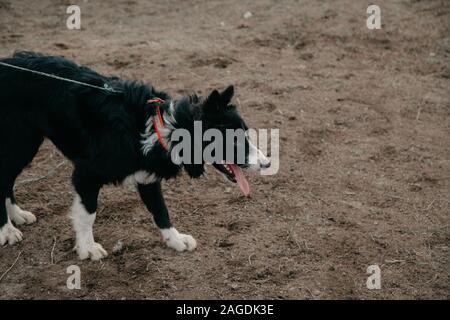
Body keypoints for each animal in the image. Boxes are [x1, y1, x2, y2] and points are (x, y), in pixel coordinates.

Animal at [0, 52, 268, 260]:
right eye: (234, 139)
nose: (267, 163)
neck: (165, 130)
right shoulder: (86, 175)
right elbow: (88, 214)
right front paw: (87, 248)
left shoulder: (147, 177)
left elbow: (161, 211)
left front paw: (175, 240)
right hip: (19, 143)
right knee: (4, 180)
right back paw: (7, 229)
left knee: (8, 181)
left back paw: (17, 216)